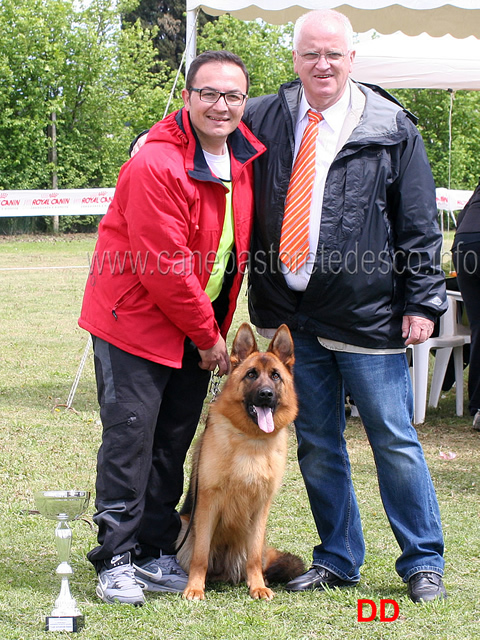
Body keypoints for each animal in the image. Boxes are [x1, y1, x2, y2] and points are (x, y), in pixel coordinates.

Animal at [176, 324, 304, 600]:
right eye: (251, 374)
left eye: (275, 376)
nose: (266, 394)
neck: (251, 439)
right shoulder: (208, 504)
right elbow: (200, 555)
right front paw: (195, 587)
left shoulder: (260, 508)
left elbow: (253, 558)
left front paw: (257, 586)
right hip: (183, 527)